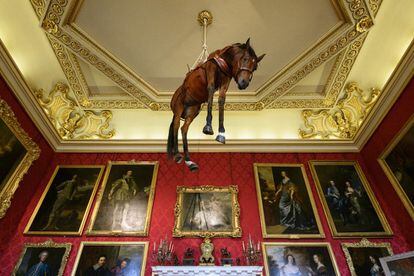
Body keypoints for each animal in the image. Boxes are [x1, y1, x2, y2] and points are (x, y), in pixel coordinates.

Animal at [167, 37, 266, 171]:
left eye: (255, 67)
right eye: (245, 59)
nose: (244, 83)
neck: (223, 60)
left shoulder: (225, 83)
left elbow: (221, 101)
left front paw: (221, 133)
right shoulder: (211, 75)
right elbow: (210, 94)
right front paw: (208, 127)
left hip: (193, 111)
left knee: (184, 129)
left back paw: (189, 161)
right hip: (178, 108)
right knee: (176, 126)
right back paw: (177, 154)